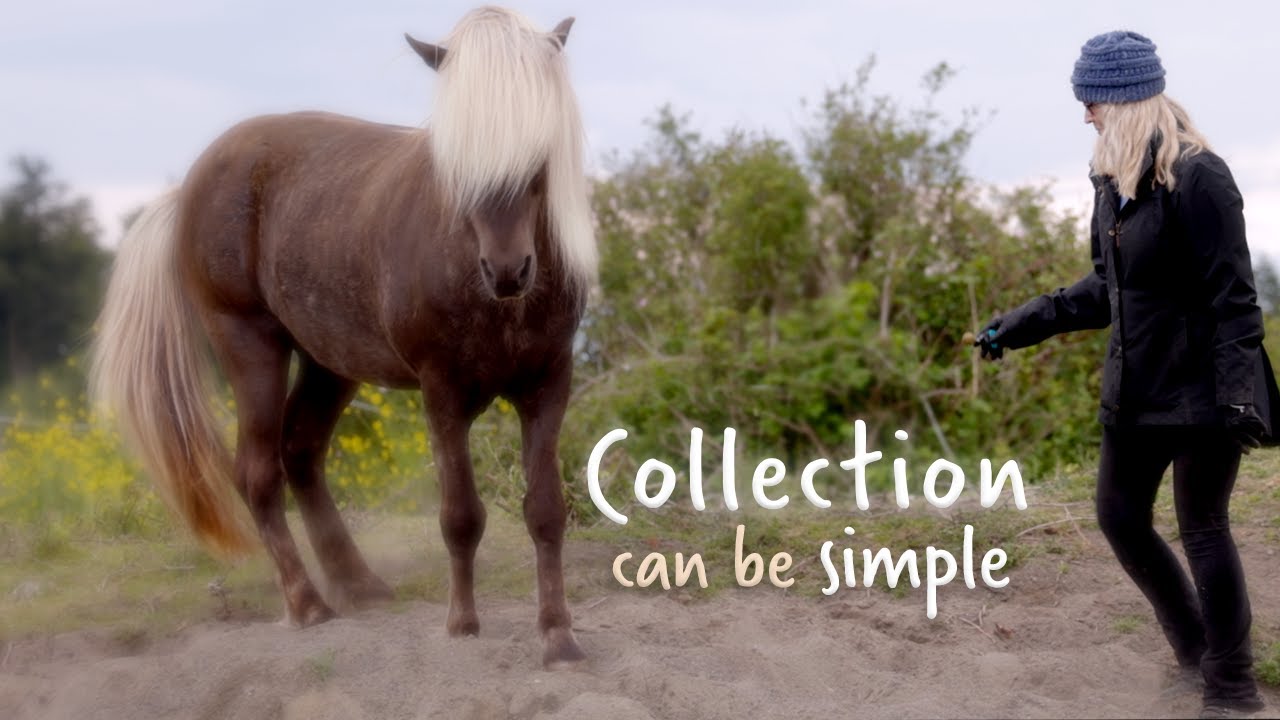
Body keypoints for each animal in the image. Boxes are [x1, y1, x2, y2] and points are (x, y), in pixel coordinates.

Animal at [89, 6, 595, 667]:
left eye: (539, 151)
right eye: (458, 158)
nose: (508, 271)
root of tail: (189, 187)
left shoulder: (547, 384)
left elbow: (546, 512)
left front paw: (558, 633)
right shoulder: (443, 391)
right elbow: (461, 515)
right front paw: (462, 623)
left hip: (329, 363)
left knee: (301, 452)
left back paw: (358, 584)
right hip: (250, 344)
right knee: (257, 471)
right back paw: (307, 603)